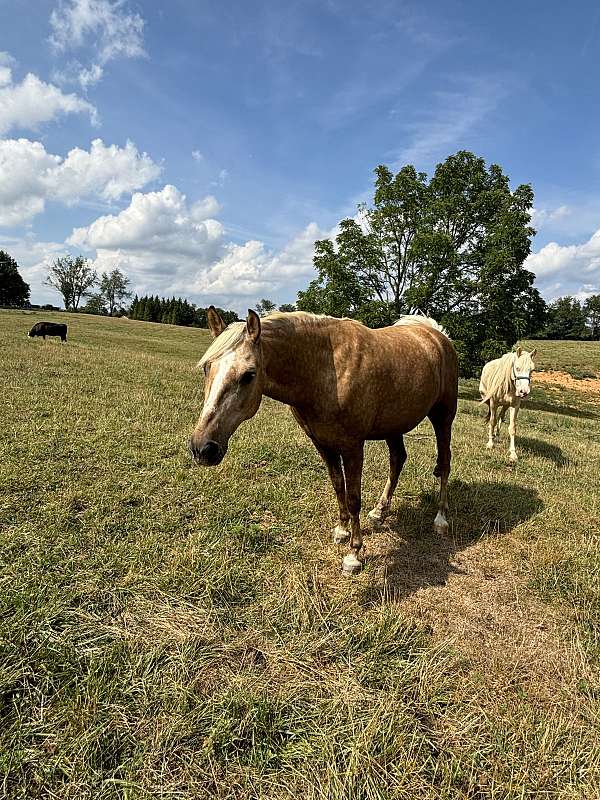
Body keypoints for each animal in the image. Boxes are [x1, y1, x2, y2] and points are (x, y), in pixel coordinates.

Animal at [190, 306, 458, 576]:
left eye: (249, 375)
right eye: (207, 368)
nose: (203, 448)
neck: (327, 370)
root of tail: (436, 334)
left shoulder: (352, 447)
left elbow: (354, 498)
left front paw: (353, 554)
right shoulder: (322, 443)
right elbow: (338, 486)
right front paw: (342, 530)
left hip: (443, 417)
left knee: (444, 463)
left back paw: (441, 520)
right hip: (394, 426)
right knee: (398, 460)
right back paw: (379, 512)